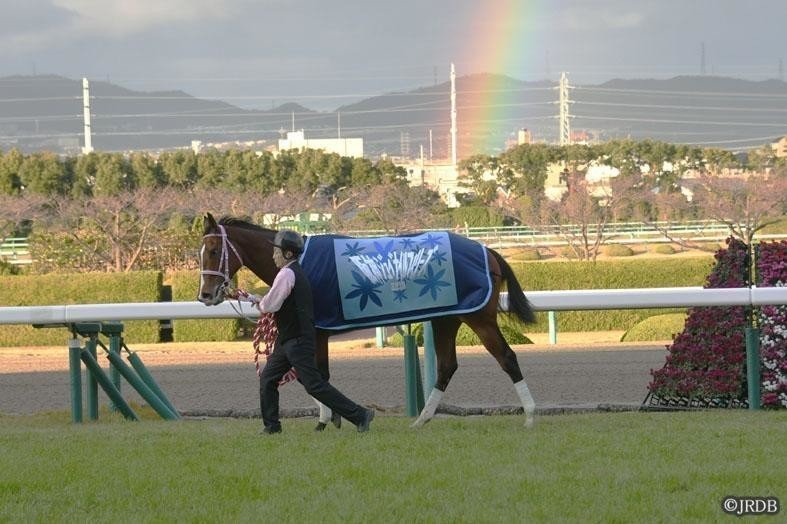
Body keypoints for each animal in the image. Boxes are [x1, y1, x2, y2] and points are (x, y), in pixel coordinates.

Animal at [198, 212, 538, 428]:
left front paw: (329, 421)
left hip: (479, 317)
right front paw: (332, 420)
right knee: (446, 366)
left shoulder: (316, 331)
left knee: (506, 357)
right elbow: (319, 375)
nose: (205, 295)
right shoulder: (320, 332)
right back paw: (421, 419)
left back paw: (531, 415)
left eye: (213, 250)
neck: (298, 261)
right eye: (199, 252)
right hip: (447, 319)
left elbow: (315, 376)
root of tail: (488, 250)